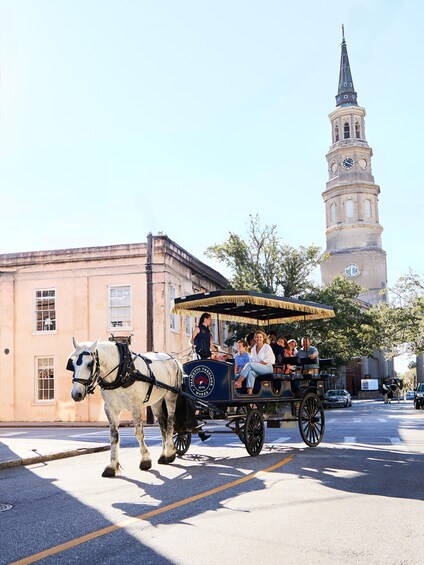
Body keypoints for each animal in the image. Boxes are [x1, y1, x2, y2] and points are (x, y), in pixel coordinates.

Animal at [68, 340, 181, 476]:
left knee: (170, 422)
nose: (76, 394)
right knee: (162, 425)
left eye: (90, 364)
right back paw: (164, 455)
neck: (121, 373)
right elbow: (113, 436)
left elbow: (139, 433)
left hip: (170, 395)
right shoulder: (110, 409)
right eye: (73, 364)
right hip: (156, 402)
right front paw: (112, 466)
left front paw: (145, 460)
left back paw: (170, 452)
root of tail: (173, 358)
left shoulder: (135, 407)